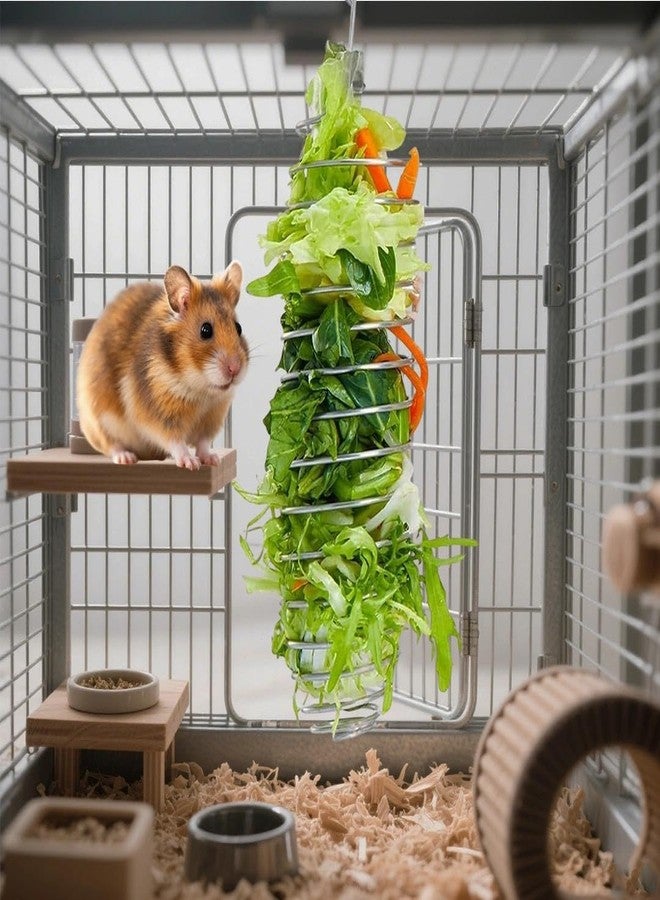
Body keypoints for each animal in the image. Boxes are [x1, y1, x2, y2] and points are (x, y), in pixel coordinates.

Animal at [77, 261, 248, 470]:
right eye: (205, 330)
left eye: (238, 328)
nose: (235, 369)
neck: (199, 389)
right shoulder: (159, 415)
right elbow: (175, 441)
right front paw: (191, 463)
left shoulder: (211, 417)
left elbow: (203, 443)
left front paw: (212, 460)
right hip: (98, 421)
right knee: (111, 445)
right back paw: (126, 458)